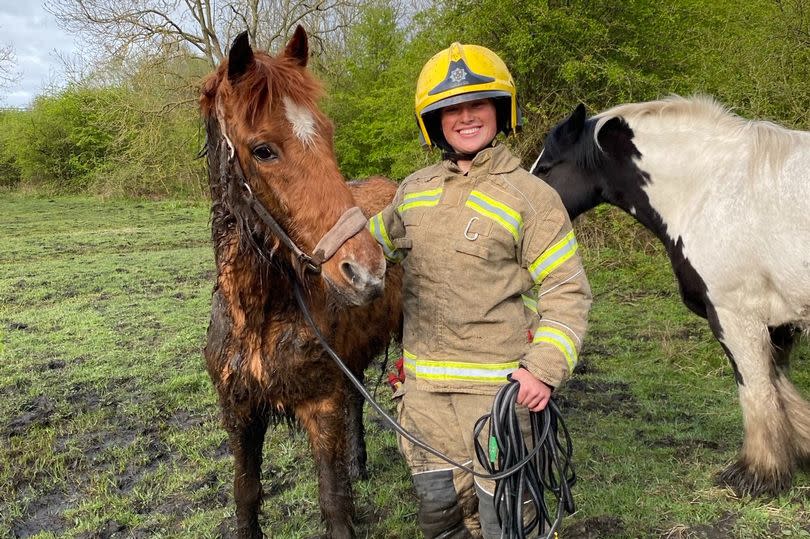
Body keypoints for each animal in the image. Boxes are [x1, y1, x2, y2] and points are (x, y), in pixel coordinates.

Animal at [532, 96, 808, 498]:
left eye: (546, 167)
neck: (711, 188)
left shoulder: (736, 315)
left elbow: (756, 387)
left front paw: (757, 473)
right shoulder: (781, 322)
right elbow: (778, 388)